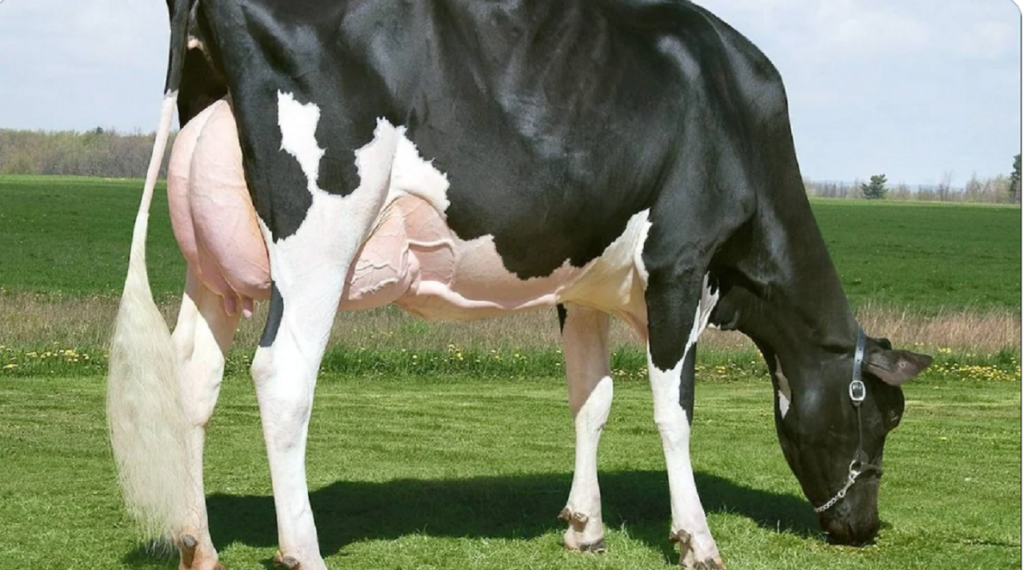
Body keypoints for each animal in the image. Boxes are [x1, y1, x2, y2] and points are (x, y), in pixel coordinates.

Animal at [107, 1, 933, 569]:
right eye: (882, 416)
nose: (863, 528)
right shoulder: (680, 268)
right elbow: (674, 413)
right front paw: (695, 539)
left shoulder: (585, 285)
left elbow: (591, 400)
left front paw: (585, 526)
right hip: (320, 235)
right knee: (281, 375)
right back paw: (300, 551)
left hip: (213, 260)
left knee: (195, 375)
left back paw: (198, 546)